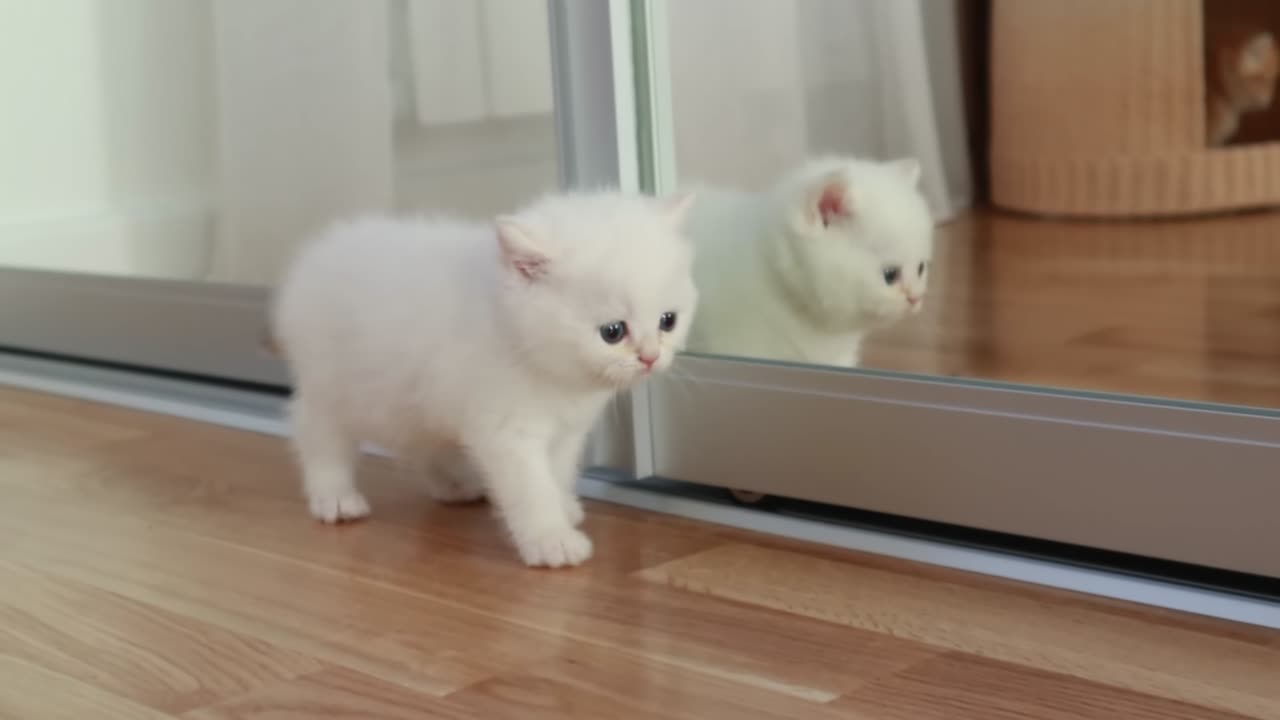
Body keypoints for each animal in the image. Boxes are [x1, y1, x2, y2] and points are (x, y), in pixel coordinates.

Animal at [264, 190, 696, 566]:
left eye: (668, 321)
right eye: (612, 332)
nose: (650, 357)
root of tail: (316, 255)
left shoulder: (565, 432)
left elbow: (555, 474)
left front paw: (562, 507)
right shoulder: (507, 431)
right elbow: (530, 487)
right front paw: (550, 539)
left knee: (420, 438)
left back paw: (452, 485)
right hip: (334, 386)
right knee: (316, 431)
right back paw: (334, 497)